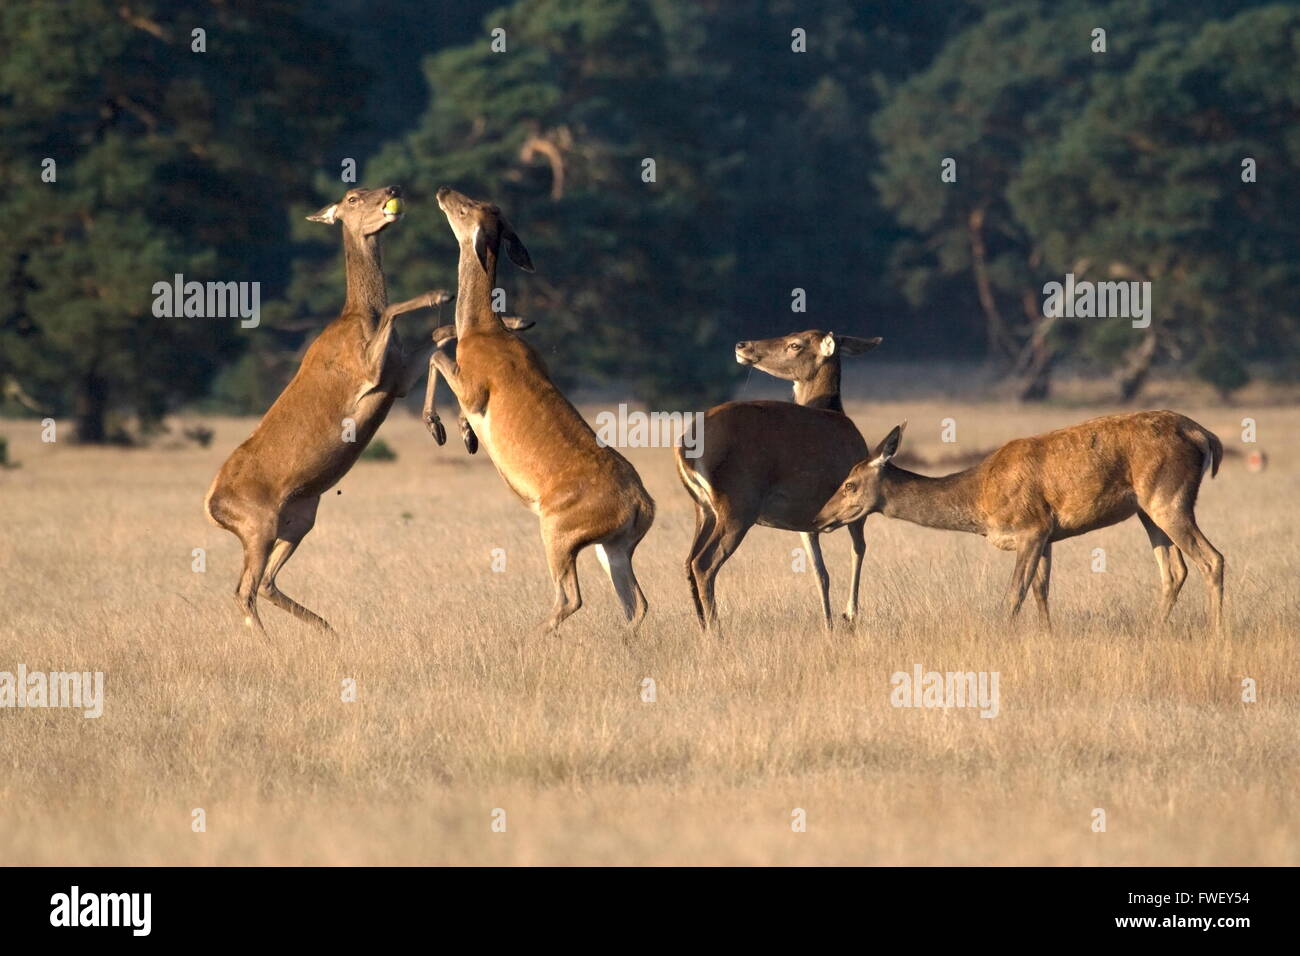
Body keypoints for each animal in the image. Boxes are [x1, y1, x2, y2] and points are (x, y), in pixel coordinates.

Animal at [201, 187, 447, 634]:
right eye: (351, 198)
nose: (393, 191)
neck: (359, 317)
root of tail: (211, 508)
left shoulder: (397, 379)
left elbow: (440, 337)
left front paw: (437, 425)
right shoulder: (368, 371)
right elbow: (401, 315)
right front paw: (439, 293)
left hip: (300, 517)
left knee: (266, 583)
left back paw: (326, 629)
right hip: (256, 522)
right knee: (244, 590)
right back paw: (275, 643)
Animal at [426, 187, 655, 634]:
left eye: (464, 208)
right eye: (482, 202)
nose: (443, 191)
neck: (482, 329)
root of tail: (643, 506)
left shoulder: (475, 387)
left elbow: (436, 354)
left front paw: (439, 427)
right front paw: (464, 434)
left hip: (558, 528)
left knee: (572, 597)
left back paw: (529, 638)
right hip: (613, 545)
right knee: (636, 602)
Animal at [670, 329, 883, 629]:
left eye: (795, 344)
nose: (742, 345)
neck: (837, 412)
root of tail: (685, 447)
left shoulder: (808, 519)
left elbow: (821, 572)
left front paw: (829, 624)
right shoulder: (856, 500)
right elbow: (858, 551)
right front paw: (849, 615)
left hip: (703, 507)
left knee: (688, 562)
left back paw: (703, 627)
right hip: (738, 504)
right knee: (703, 563)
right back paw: (716, 631)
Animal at [816, 408, 1222, 629]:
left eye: (850, 484)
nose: (820, 517)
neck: (980, 504)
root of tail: (1205, 436)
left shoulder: (1031, 527)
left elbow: (1015, 594)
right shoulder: (1048, 535)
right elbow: (1042, 591)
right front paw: (1047, 635)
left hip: (1168, 497)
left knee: (1212, 559)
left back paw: (1215, 633)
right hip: (1147, 510)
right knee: (1174, 570)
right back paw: (1155, 629)